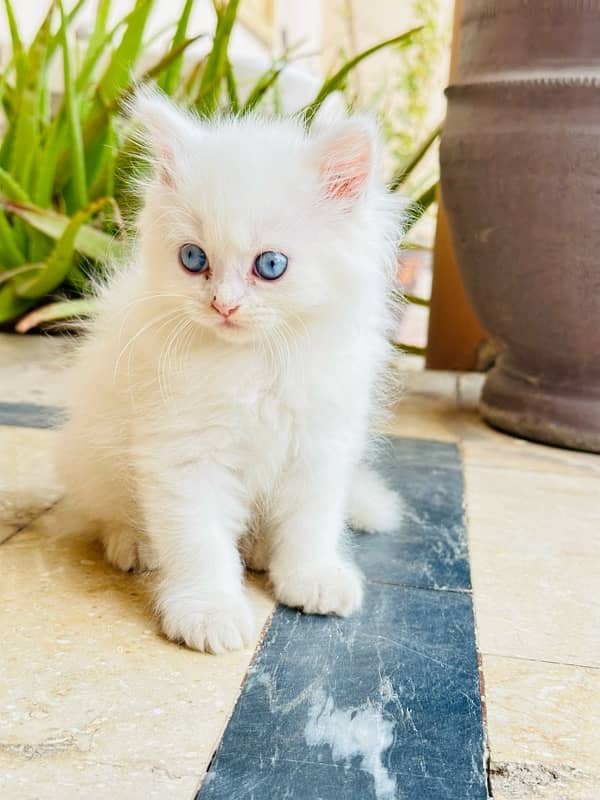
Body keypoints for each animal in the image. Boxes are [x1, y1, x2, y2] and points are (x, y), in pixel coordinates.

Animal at [55, 90, 404, 652]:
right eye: (193, 258)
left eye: (271, 266)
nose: (224, 305)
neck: (257, 363)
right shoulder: (183, 454)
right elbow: (199, 542)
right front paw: (208, 611)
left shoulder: (321, 444)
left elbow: (311, 522)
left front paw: (311, 576)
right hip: (89, 454)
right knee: (106, 511)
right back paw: (135, 543)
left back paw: (261, 549)